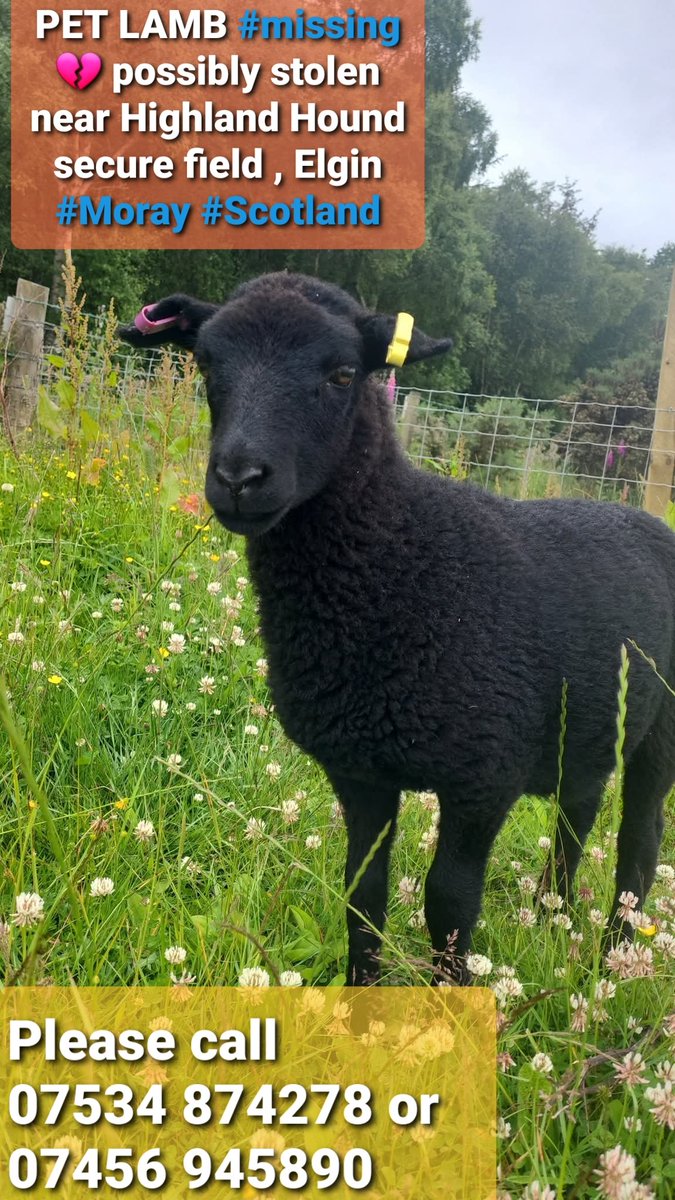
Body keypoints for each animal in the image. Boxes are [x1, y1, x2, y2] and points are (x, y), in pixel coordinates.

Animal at [120, 272, 675, 986]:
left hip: (662, 731)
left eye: (342, 373)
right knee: (577, 817)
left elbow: (450, 903)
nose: (239, 478)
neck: (401, 560)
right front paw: (362, 997)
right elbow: (362, 893)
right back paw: (554, 915)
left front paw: (452, 997)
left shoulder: (482, 776)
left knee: (639, 843)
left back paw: (612, 960)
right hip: (587, 731)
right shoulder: (360, 772)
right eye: (208, 365)